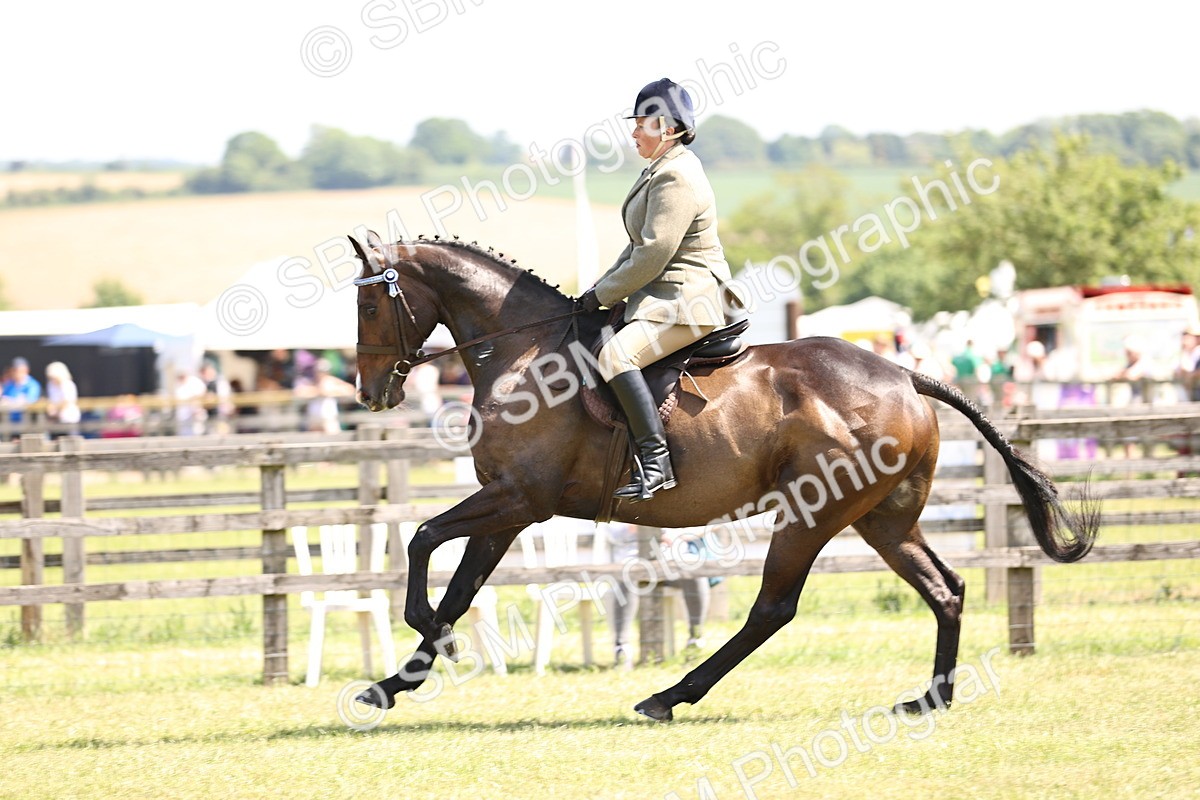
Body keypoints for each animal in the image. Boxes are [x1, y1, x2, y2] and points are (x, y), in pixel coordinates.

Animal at [349, 232, 1098, 720]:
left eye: (368, 307)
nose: (370, 393)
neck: (524, 351)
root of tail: (902, 374)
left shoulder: (517, 499)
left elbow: (421, 540)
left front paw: (427, 637)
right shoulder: (511, 506)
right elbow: (461, 584)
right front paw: (394, 683)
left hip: (812, 513)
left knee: (773, 609)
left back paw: (668, 696)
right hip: (883, 519)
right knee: (945, 589)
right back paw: (931, 698)